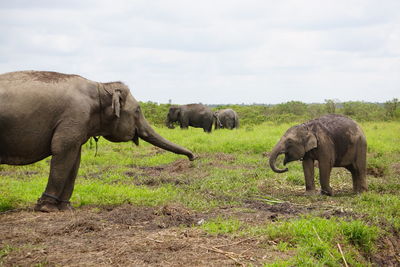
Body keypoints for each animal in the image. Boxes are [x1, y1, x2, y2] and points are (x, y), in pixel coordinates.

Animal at [0, 70, 194, 213]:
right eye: (138, 110)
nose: (193, 158)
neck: (100, 86)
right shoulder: (74, 116)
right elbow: (62, 150)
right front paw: (47, 208)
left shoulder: (78, 124)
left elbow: (75, 158)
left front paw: (66, 208)